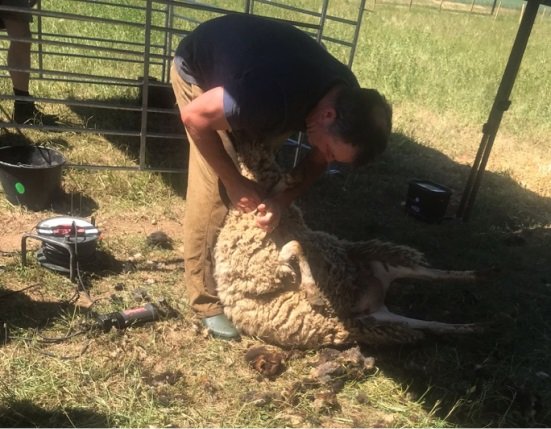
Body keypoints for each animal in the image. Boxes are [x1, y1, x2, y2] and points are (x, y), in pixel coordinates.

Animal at [212, 140, 484, 348]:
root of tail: (376, 298)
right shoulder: (266, 266)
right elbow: (294, 247)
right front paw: (314, 292)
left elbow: (294, 241)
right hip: (375, 319)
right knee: (428, 321)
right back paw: (467, 325)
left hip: (382, 260)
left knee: (432, 274)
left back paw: (471, 279)